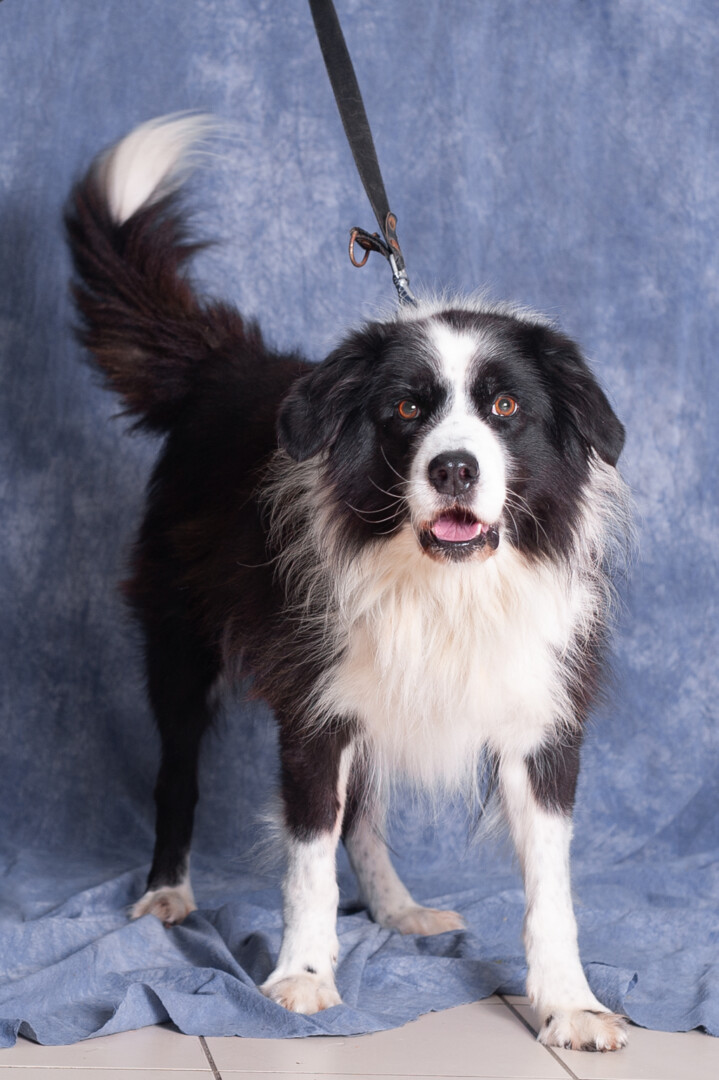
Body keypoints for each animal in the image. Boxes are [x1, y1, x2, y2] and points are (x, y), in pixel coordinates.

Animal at [65, 115, 631, 1051]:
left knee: (361, 813)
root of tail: (225, 366)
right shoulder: (314, 709)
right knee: (179, 774)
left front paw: (569, 1001)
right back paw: (168, 894)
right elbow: (306, 862)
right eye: (406, 408)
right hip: (181, 640)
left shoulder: (537, 713)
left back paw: (398, 908)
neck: (444, 584)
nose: (452, 468)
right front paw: (300, 977)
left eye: (505, 409)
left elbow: (550, 886)